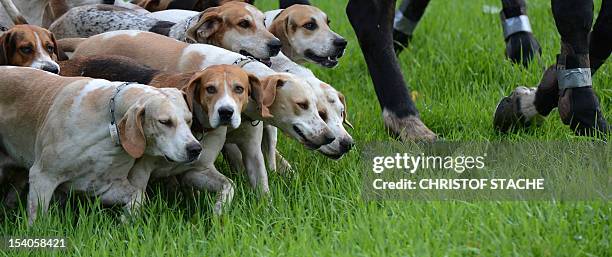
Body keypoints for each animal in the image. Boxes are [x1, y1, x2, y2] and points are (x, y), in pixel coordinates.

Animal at [0, 65, 201, 222]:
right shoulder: (43, 176)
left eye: (189, 120)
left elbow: (138, 196)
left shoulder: (103, 186)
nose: (195, 149)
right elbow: (38, 220)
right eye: (165, 122)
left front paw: (126, 220)